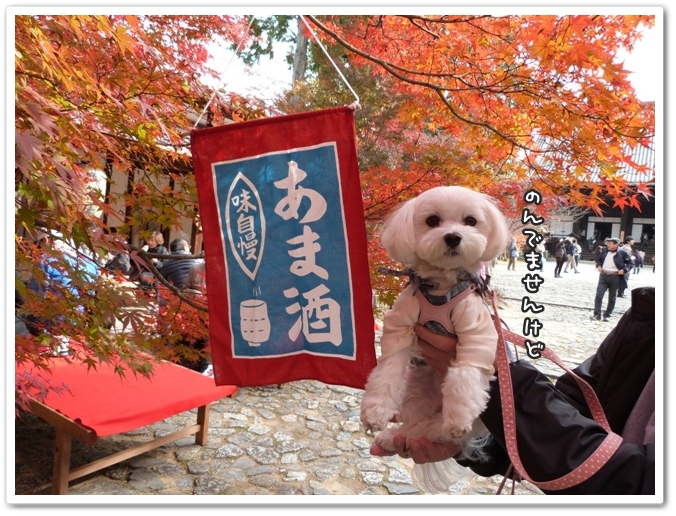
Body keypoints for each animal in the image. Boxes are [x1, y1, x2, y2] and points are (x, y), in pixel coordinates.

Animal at [361, 186, 510, 487]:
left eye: (470, 221)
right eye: (432, 220)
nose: (453, 236)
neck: (441, 286)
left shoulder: (476, 333)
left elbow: (464, 374)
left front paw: (458, 418)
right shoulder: (400, 324)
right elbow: (388, 369)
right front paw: (375, 412)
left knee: (435, 429)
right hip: (417, 387)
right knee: (417, 421)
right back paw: (394, 436)